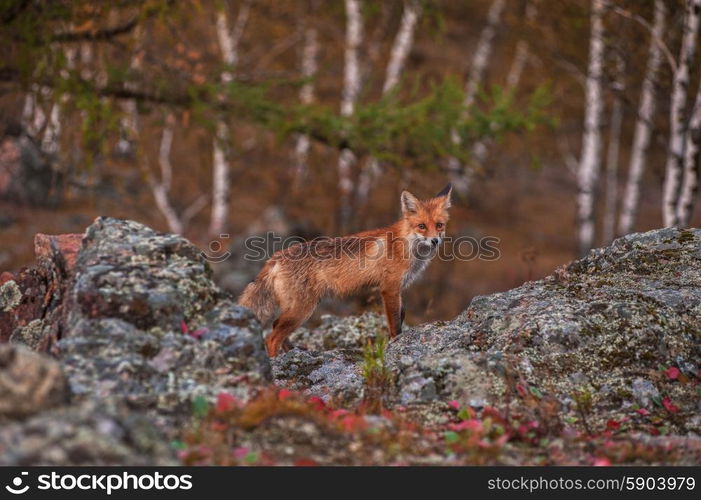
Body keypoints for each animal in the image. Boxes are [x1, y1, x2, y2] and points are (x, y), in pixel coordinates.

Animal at [238, 184, 452, 356]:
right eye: (422, 226)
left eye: (439, 225)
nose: (435, 241)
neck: (405, 245)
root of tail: (276, 257)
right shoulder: (389, 289)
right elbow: (395, 325)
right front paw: (397, 344)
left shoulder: (399, 289)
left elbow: (402, 315)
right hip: (302, 309)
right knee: (272, 337)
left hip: (295, 309)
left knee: (276, 328)